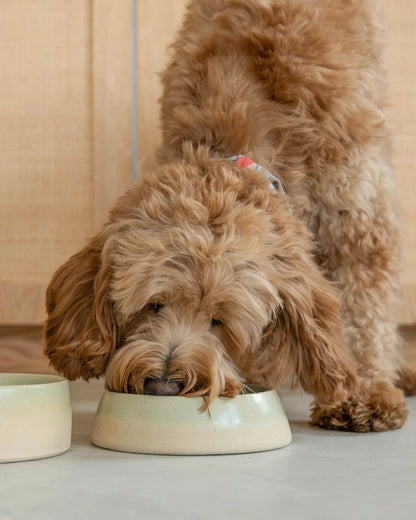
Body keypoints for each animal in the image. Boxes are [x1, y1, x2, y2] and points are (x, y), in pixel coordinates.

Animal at [44, 0, 414, 430]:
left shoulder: (356, 216)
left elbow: (364, 312)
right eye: (153, 305)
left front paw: (364, 394)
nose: (163, 385)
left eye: (219, 321)